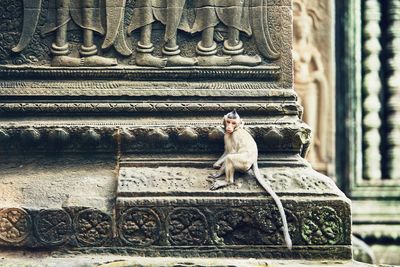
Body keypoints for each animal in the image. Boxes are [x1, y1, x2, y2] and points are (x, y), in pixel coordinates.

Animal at [208, 110, 292, 250]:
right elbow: (226, 152)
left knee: (231, 158)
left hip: (243, 163)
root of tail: (254, 160)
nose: (229, 127)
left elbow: (230, 153)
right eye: (228, 121)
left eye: (233, 123)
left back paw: (227, 182)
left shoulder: (232, 136)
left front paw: (219, 171)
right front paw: (216, 168)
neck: (236, 129)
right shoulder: (227, 134)